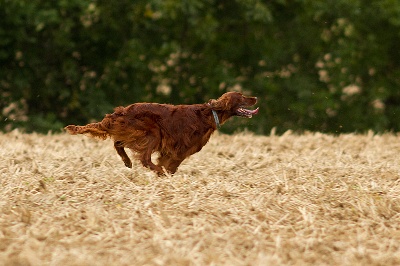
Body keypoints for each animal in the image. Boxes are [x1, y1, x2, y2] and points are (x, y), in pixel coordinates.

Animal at [65, 91, 260, 175]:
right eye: (242, 97)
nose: (256, 98)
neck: (210, 115)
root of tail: (119, 112)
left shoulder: (171, 150)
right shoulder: (179, 148)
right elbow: (171, 165)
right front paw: (164, 173)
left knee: (118, 144)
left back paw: (127, 161)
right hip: (153, 133)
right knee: (144, 159)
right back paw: (155, 169)